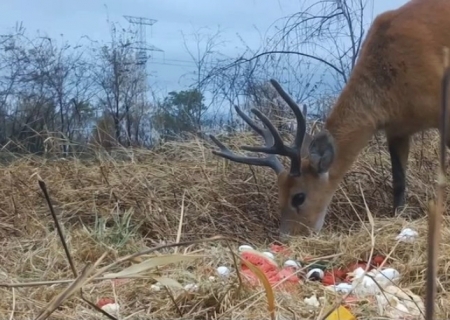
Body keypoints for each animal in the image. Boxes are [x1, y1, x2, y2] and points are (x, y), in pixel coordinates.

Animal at [209, 0, 450, 239]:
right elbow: (399, 182)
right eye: (279, 194)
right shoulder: (397, 129)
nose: (286, 237)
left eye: (299, 197)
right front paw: (398, 217)